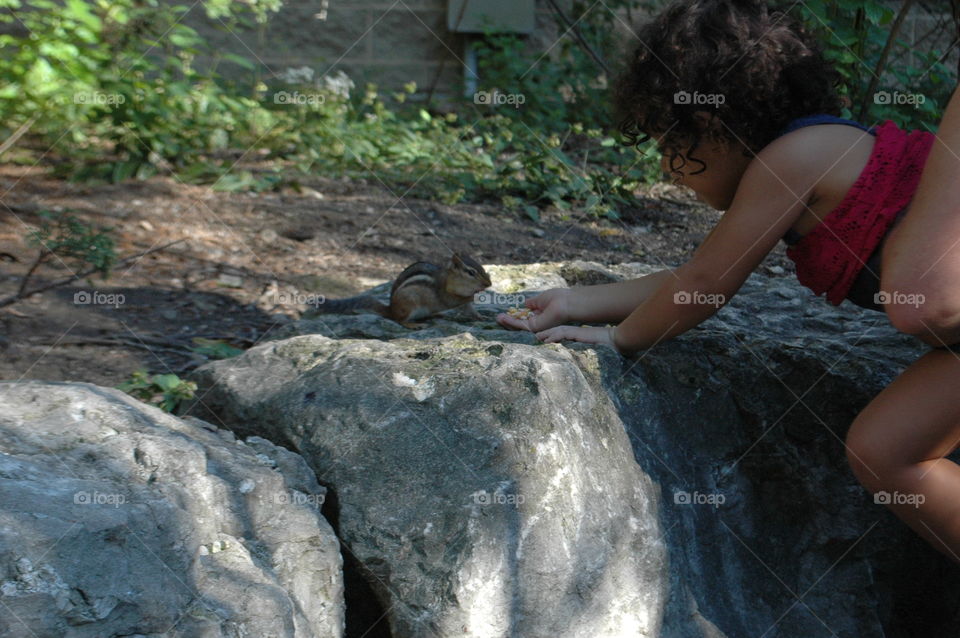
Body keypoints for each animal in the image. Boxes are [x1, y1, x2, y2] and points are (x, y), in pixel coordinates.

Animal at [313, 253, 492, 326]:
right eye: (471, 272)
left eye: (482, 268)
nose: (488, 284)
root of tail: (391, 309)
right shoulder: (445, 294)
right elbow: (457, 300)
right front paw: (475, 295)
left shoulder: (465, 305)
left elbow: (470, 310)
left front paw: (481, 316)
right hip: (410, 304)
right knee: (399, 320)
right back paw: (413, 325)